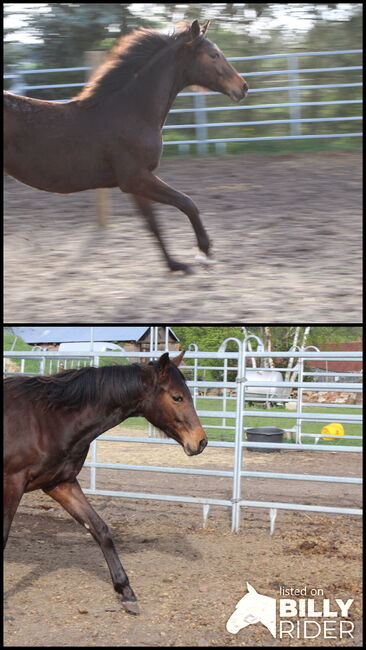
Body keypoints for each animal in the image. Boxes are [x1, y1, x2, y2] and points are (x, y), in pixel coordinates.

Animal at [3, 20, 249, 272]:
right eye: (213, 55)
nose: (243, 87)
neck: (132, 111)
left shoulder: (137, 183)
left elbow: (153, 223)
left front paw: (175, 265)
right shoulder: (135, 178)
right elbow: (187, 203)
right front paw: (204, 252)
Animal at [3, 352, 206, 612]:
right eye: (177, 397)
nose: (200, 441)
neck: (46, 420)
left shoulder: (60, 483)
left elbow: (100, 529)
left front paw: (126, 591)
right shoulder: (12, 484)